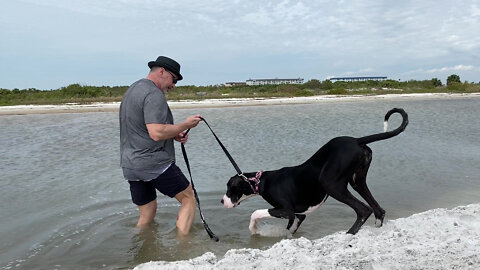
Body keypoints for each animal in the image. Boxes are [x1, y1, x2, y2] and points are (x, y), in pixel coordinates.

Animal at [221, 107, 408, 234]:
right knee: (378, 210)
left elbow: (256, 213)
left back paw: (348, 234)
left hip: (330, 184)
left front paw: (253, 229)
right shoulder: (297, 215)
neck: (260, 180)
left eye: (230, 188)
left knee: (364, 210)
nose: (222, 201)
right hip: (357, 181)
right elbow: (291, 228)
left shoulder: (287, 211)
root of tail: (356, 140)